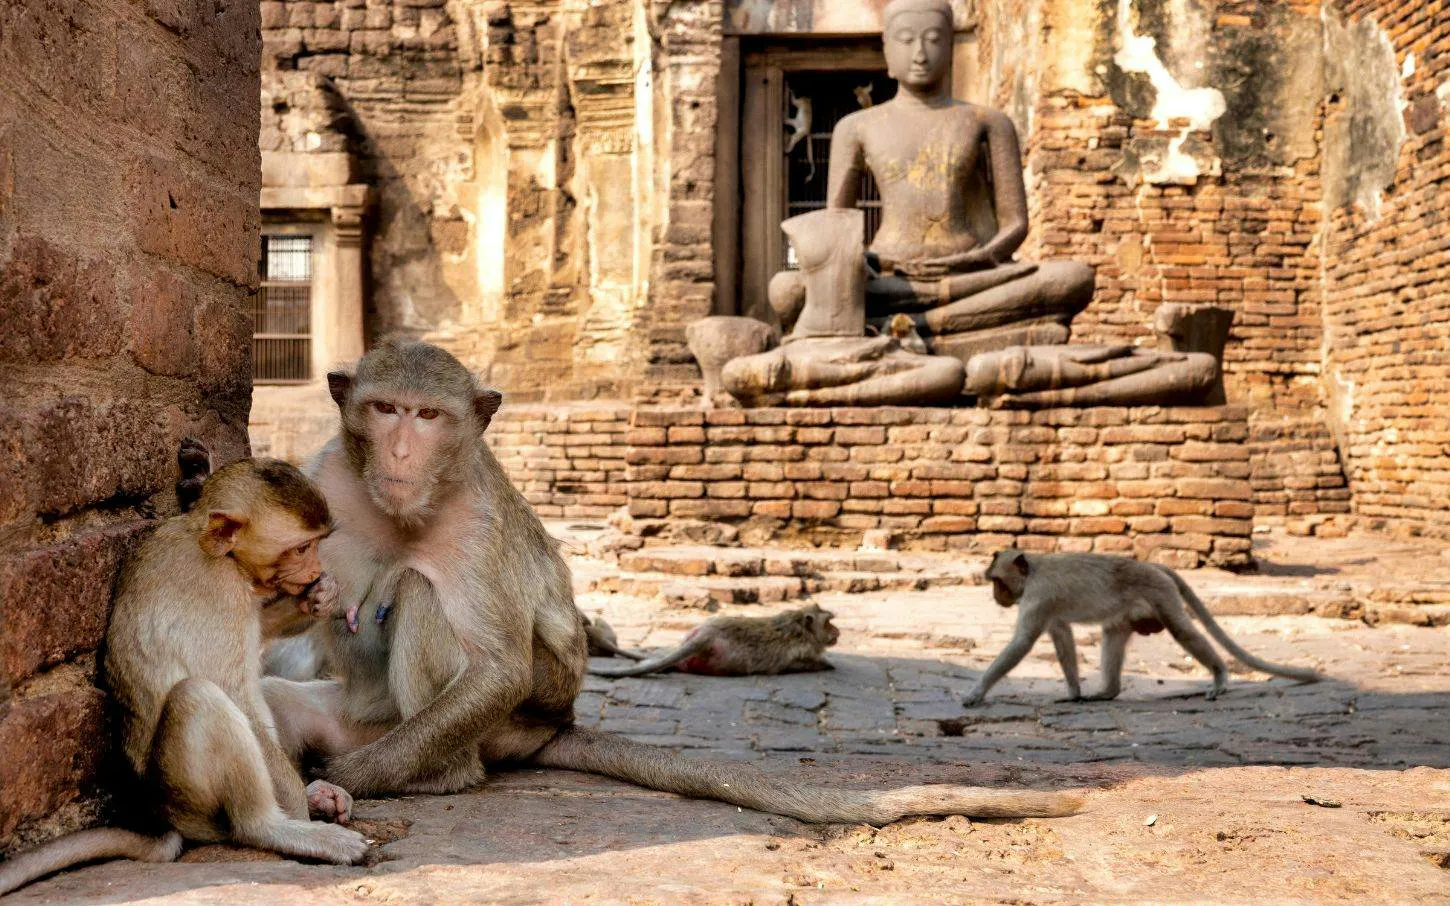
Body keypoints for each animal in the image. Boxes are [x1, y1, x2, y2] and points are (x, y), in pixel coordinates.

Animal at [0, 459, 367, 897]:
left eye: (315, 546)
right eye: (300, 548)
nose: (315, 569)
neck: (210, 544)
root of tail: (167, 814)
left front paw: (319, 596)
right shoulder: (220, 591)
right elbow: (233, 690)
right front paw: (299, 812)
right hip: (188, 794)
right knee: (199, 696)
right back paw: (273, 828)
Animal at [588, 604, 840, 678]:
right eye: (828, 622)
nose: (837, 632)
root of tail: (707, 634)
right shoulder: (803, 651)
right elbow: (807, 663)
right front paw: (827, 664)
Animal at [963, 550, 1324, 707]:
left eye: (997, 580)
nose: (996, 596)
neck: (1035, 569)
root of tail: (1151, 564)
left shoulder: (1038, 597)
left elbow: (1023, 642)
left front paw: (976, 692)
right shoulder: (1047, 607)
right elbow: (1061, 633)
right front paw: (1074, 692)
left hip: (1160, 592)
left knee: (1181, 629)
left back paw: (1220, 676)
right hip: (1132, 610)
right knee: (1113, 633)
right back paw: (1107, 691)